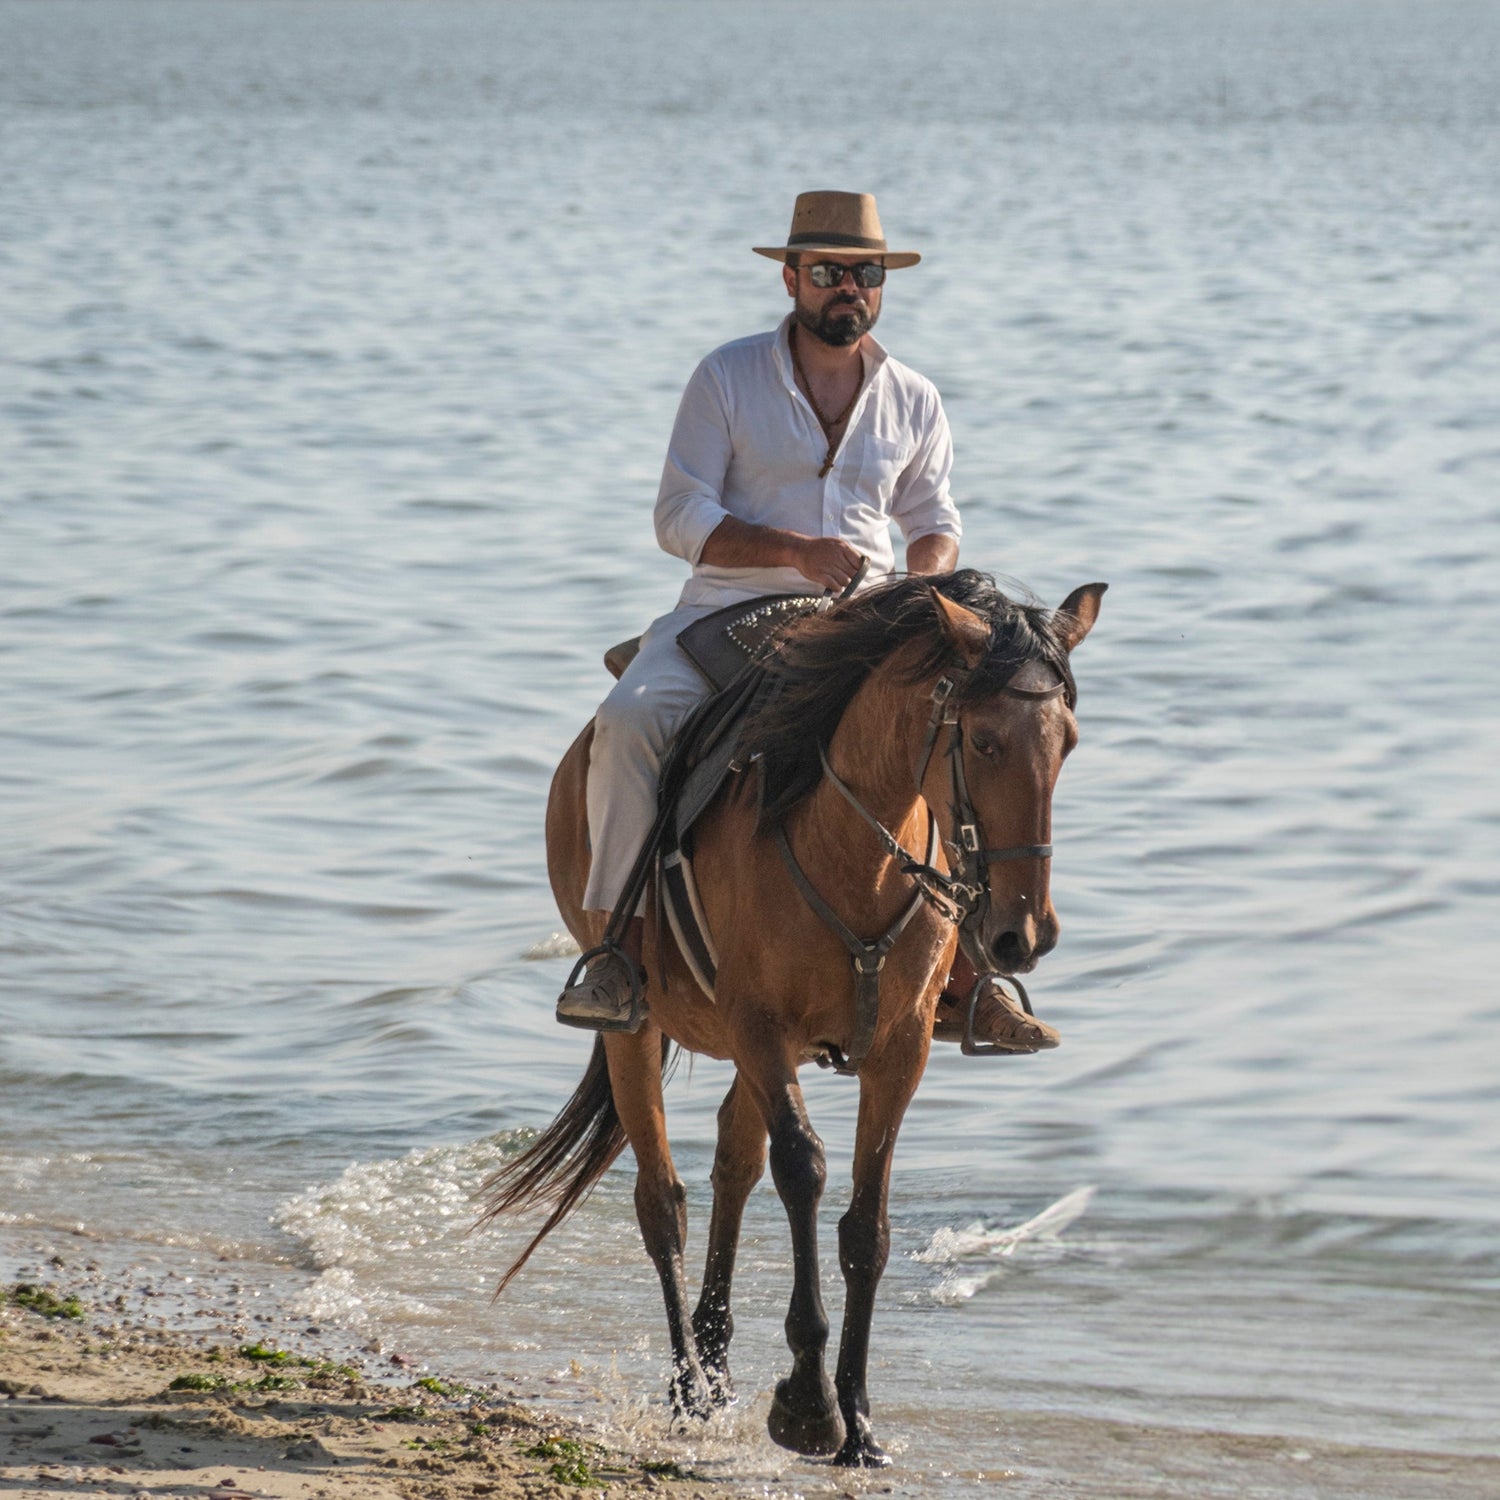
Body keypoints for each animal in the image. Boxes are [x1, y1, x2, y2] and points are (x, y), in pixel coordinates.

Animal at [481, 570, 1105, 1467]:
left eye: (1068, 743)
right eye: (985, 741)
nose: (1024, 936)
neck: (853, 852)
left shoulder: (900, 1050)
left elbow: (866, 1225)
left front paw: (861, 1422)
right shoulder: (762, 1031)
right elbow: (804, 1170)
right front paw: (811, 1405)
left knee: (732, 1166)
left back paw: (715, 1362)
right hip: (637, 1028)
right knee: (662, 1199)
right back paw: (687, 1386)